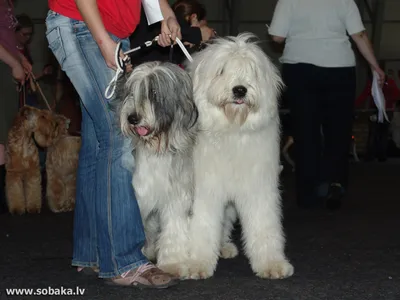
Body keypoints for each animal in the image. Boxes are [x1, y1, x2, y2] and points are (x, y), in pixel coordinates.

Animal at [114, 62, 198, 276]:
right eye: (131, 92)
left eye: (153, 91)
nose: (132, 118)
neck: (157, 148)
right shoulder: (140, 195)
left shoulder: (176, 195)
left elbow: (174, 228)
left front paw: (172, 262)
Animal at [182, 34, 294, 280]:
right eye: (221, 70)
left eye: (251, 70)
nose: (240, 90)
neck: (232, 130)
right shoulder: (206, 191)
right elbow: (203, 225)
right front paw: (197, 264)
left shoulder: (259, 189)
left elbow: (263, 225)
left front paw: (272, 264)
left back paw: (224, 247)